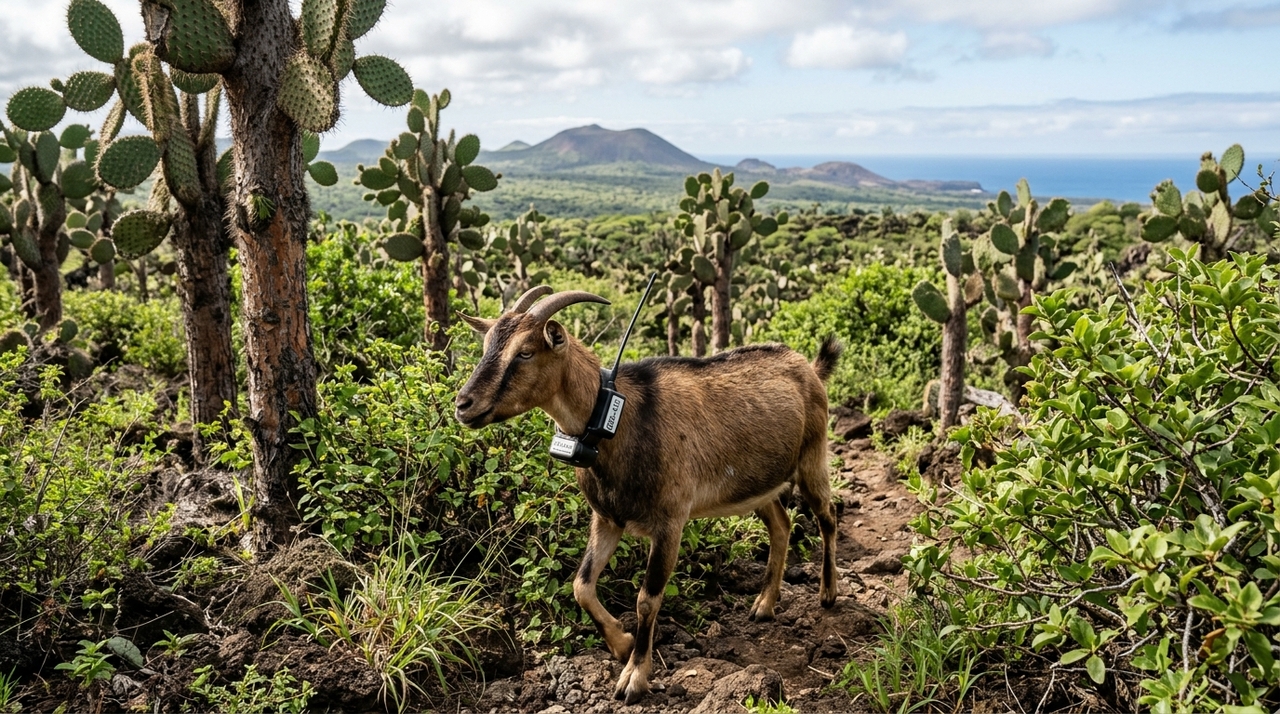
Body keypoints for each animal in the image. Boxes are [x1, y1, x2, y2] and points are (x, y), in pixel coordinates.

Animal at [454, 286, 842, 704]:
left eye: (525, 352)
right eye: (486, 347)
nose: (463, 405)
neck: (619, 419)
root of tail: (809, 368)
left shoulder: (670, 522)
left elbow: (646, 598)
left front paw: (634, 677)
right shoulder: (608, 518)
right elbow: (581, 585)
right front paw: (621, 643)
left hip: (812, 458)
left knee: (827, 517)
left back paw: (828, 593)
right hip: (758, 485)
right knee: (781, 525)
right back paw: (764, 605)